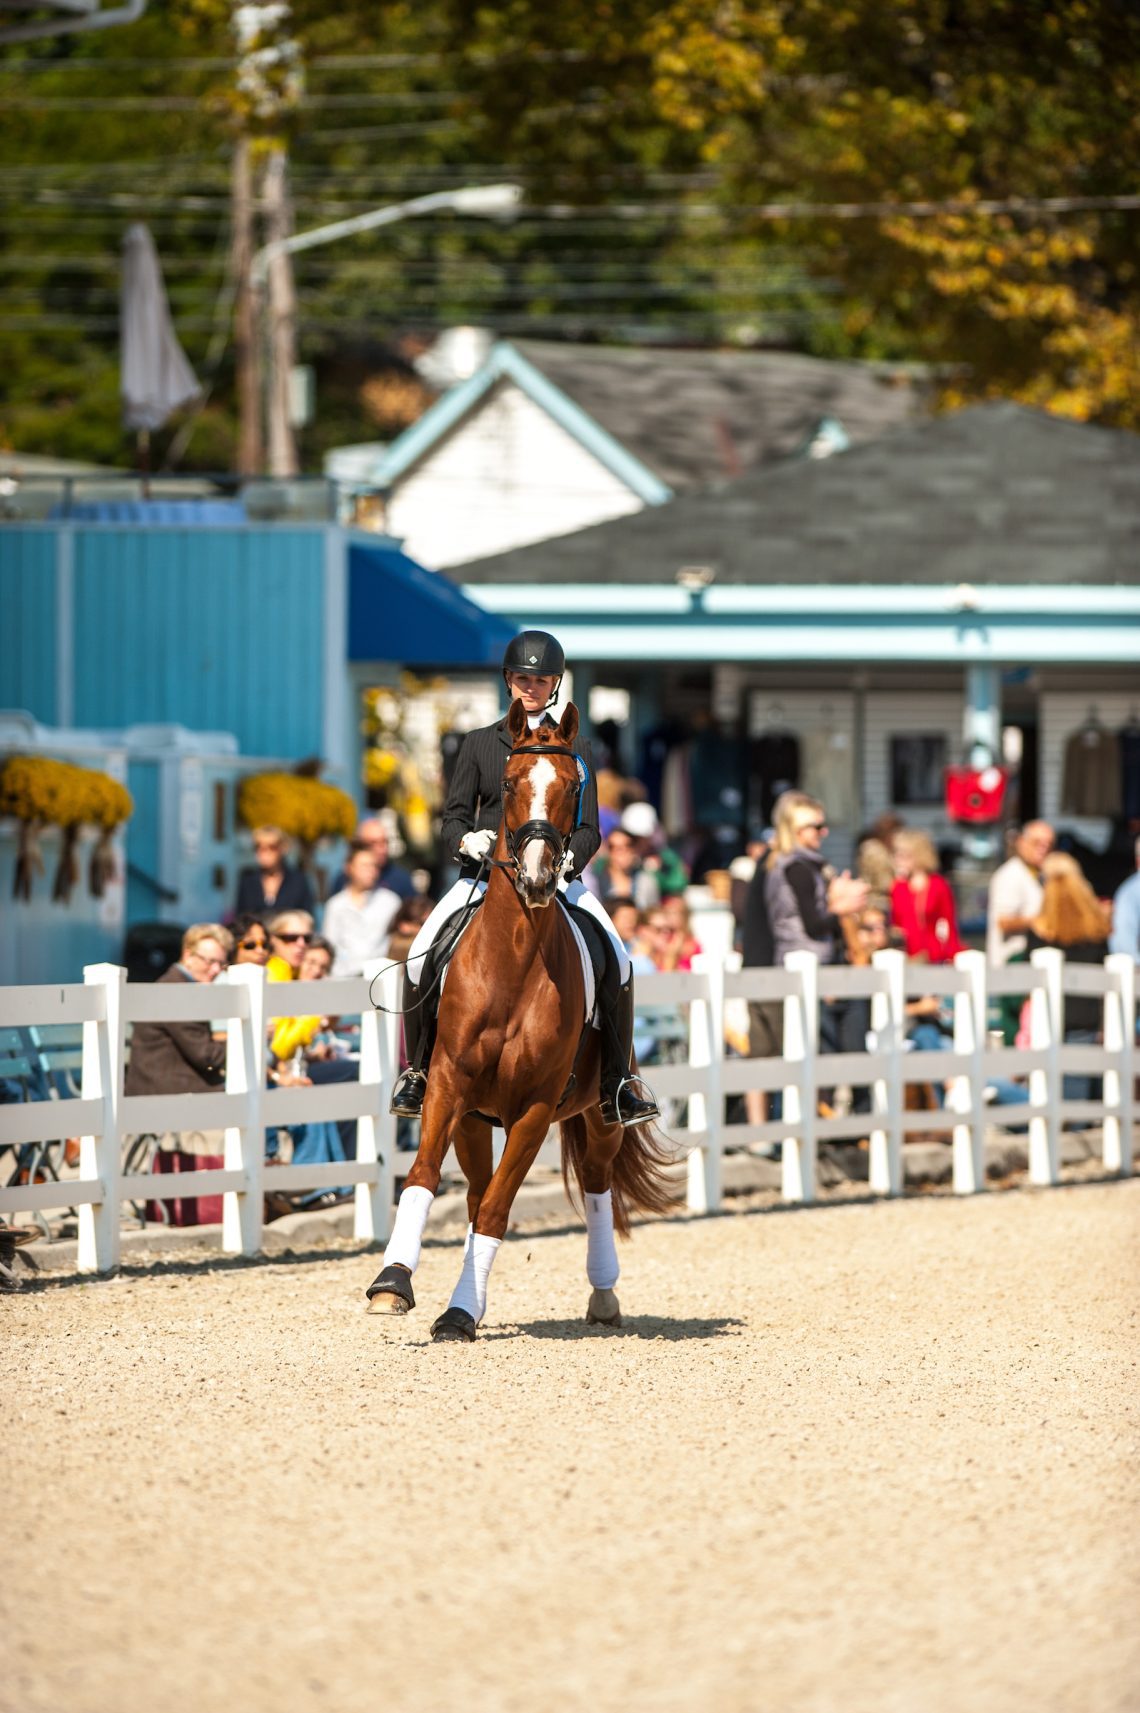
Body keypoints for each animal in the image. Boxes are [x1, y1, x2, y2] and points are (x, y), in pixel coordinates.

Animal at [365, 695, 672, 1336]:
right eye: (507, 784)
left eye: (574, 785)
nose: (536, 878)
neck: (512, 963)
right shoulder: (449, 1087)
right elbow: (425, 1178)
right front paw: (393, 1283)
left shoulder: (532, 1110)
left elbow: (499, 1209)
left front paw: (459, 1313)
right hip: (474, 1119)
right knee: (475, 1190)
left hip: (600, 1115)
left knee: (596, 1186)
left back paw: (602, 1295)